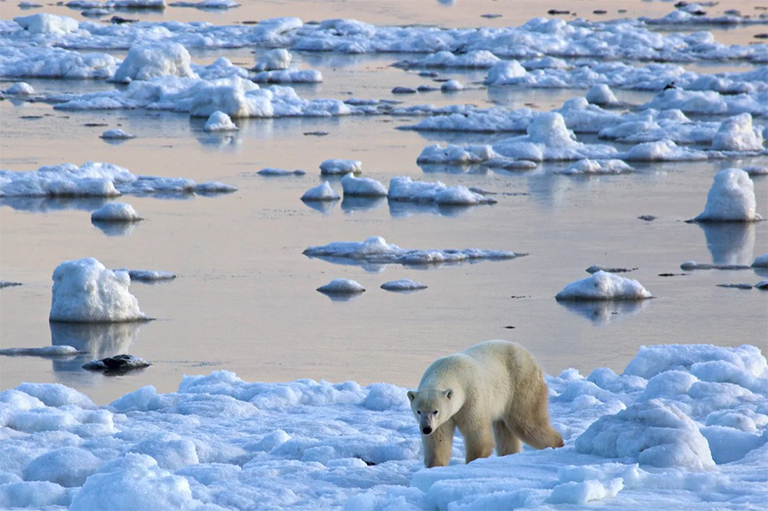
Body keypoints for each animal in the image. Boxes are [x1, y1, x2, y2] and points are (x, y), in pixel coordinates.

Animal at [408, 340, 564, 468]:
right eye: (419, 411)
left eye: (435, 411)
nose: (426, 428)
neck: (449, 369)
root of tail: (531, 357)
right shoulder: (444, 419)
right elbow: (438, 439)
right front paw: (436, 466)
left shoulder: (471, 397)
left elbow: (477, 433)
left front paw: (474, 462)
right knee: (505, 431)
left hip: (521, 386)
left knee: (527, 422)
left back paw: (557, 444)